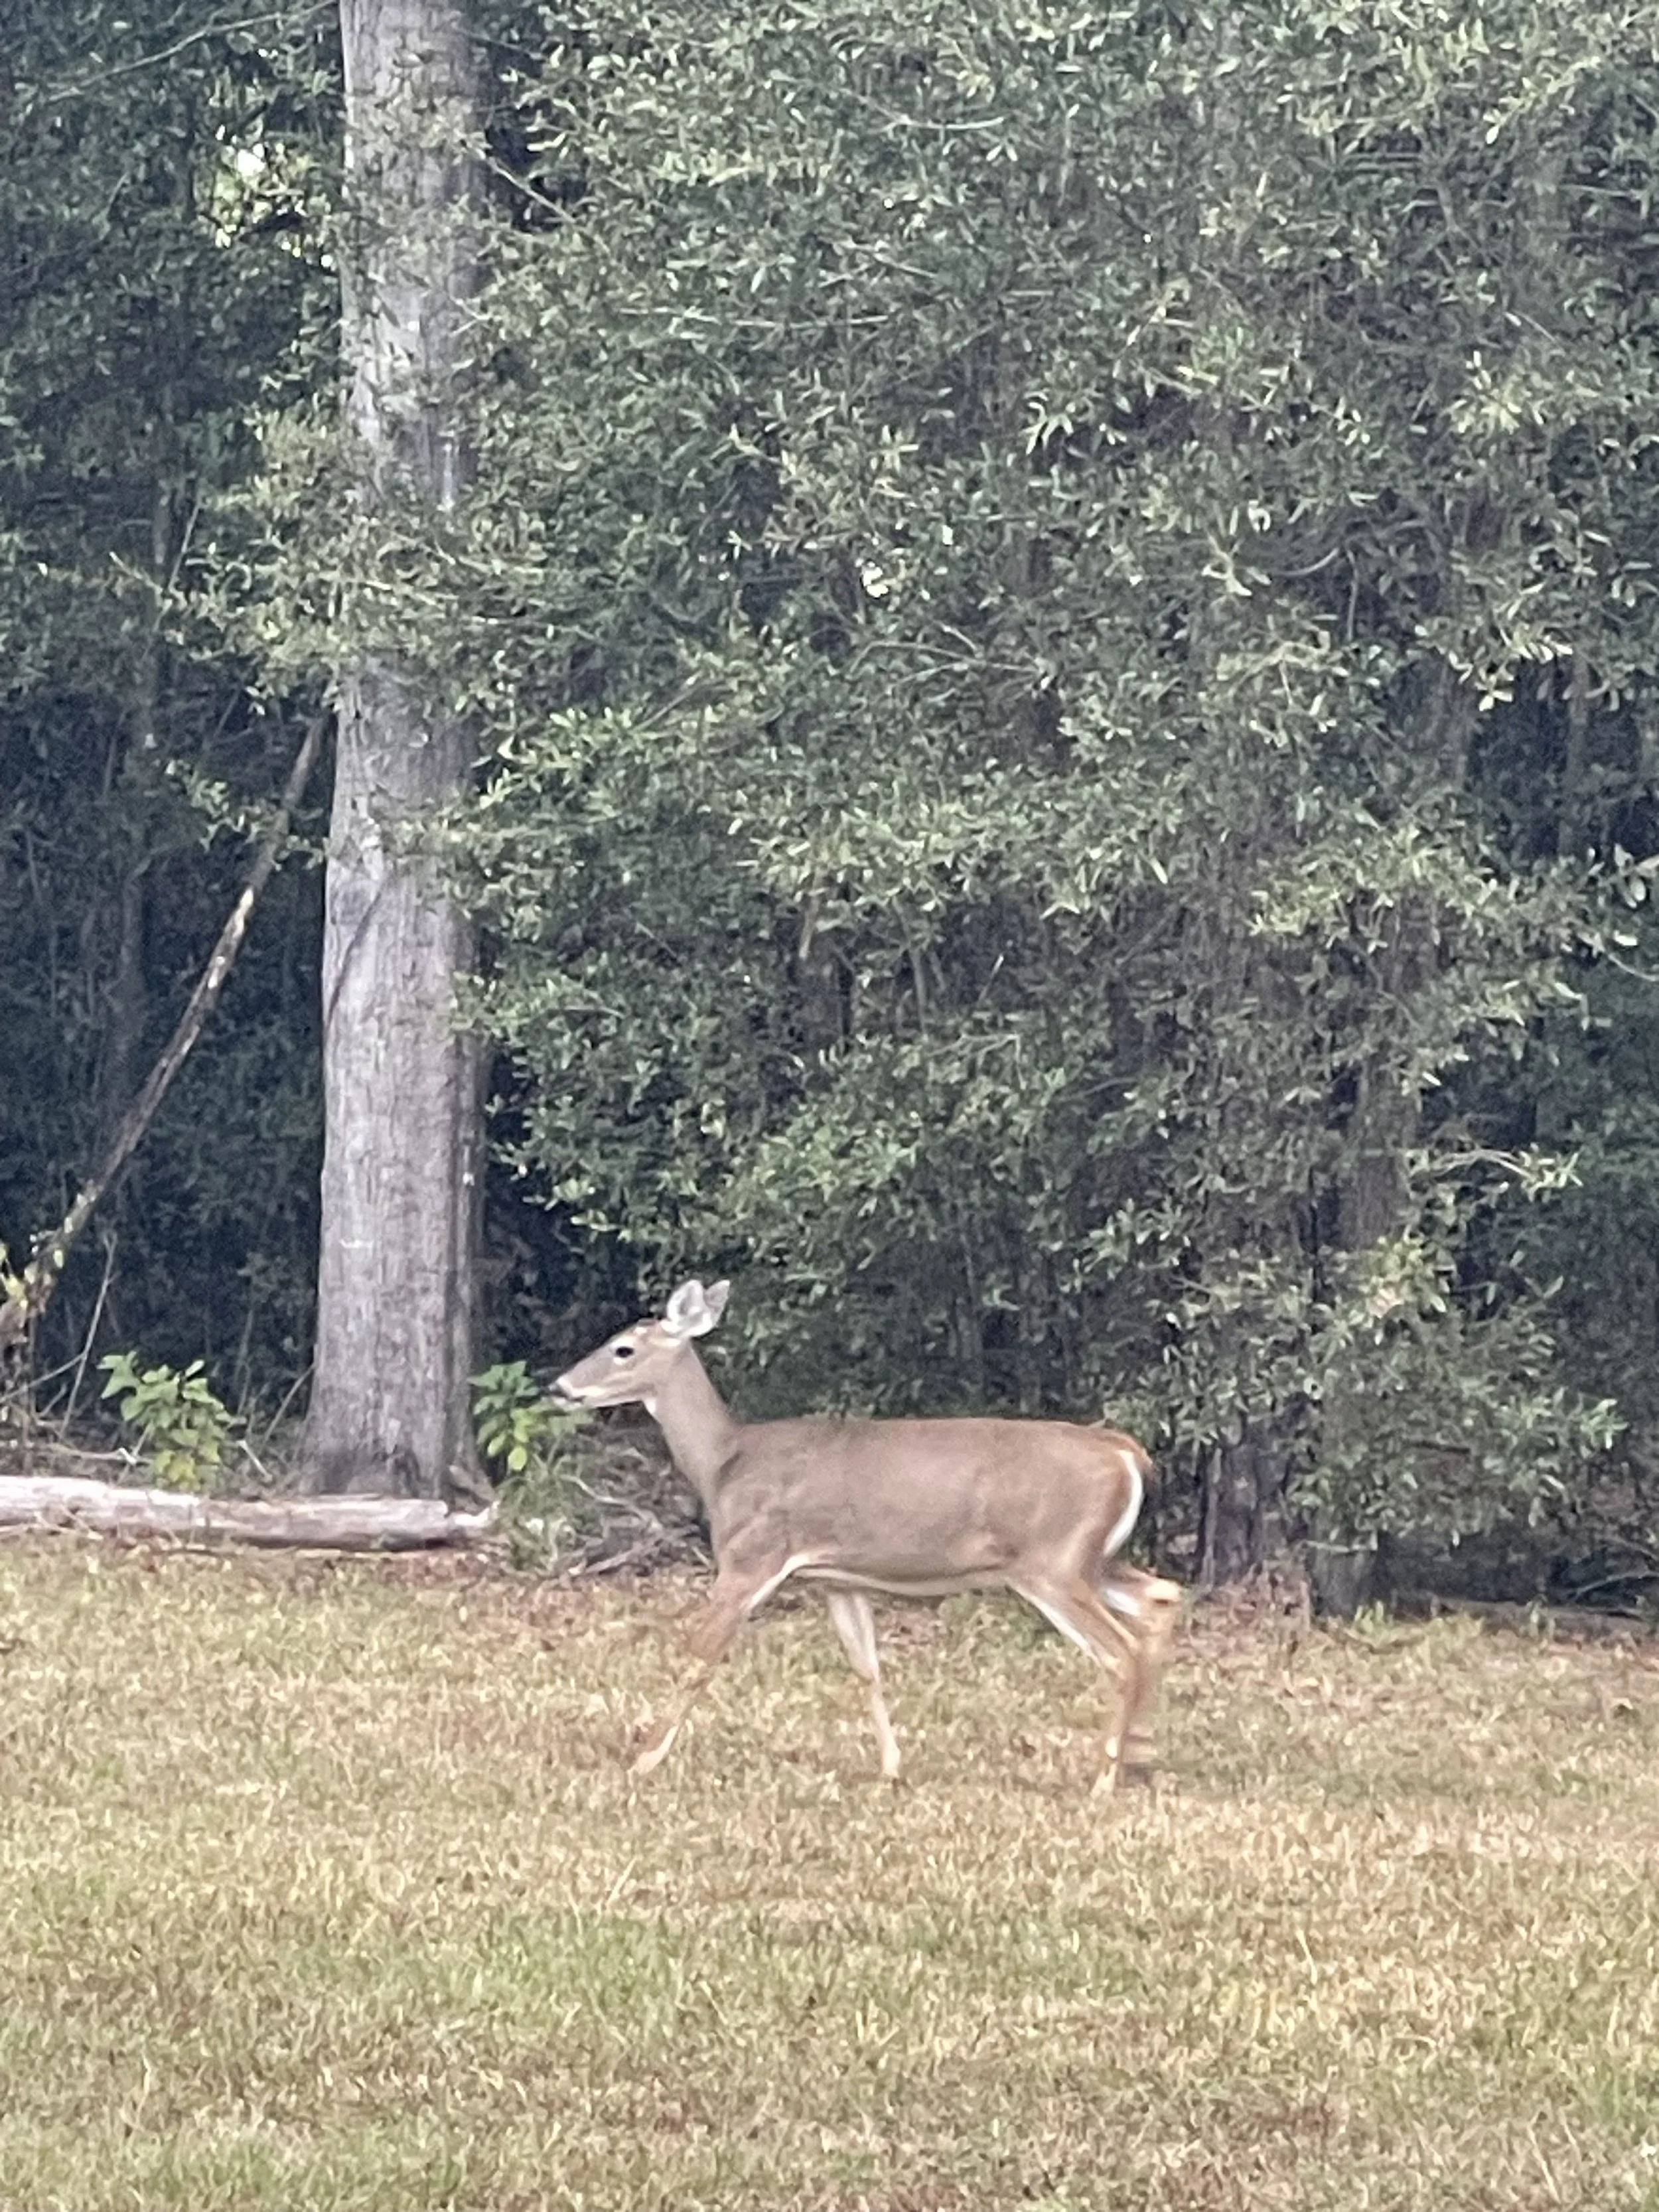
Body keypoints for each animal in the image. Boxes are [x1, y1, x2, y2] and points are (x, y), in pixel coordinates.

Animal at [553, 1277, 1182, 1789]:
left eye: (623, 1348)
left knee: (1120, 1652)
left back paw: (1104, 1778)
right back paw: (1142, 1758)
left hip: (1053, 1560)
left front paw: (644, 1760)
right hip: (1092, 1559)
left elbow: (698, 1657)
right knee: (1163, 1595)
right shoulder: (838, 1577)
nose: (561, 1386)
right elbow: (867, 1669)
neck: (724, 1463)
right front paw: (891, 1767)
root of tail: (1126, 1452)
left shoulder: (750, 1557)